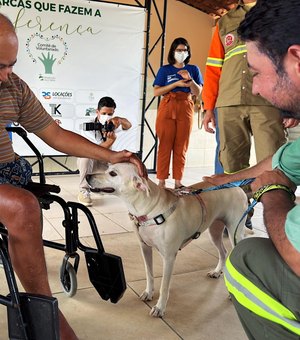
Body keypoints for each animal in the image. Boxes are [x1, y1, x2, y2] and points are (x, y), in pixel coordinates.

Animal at [86, 163, 246, 318]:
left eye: (113, 173)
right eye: (108, 168)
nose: (87, 176)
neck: (149, 209)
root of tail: (237, 186)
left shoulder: (169, 257)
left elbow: (164, 286)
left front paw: (160, 308)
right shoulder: (145, 248)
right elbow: (149, 274)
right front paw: (149, 292)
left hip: (235, 233)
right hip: (215, 231)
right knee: (223, 252)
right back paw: (217, 272)